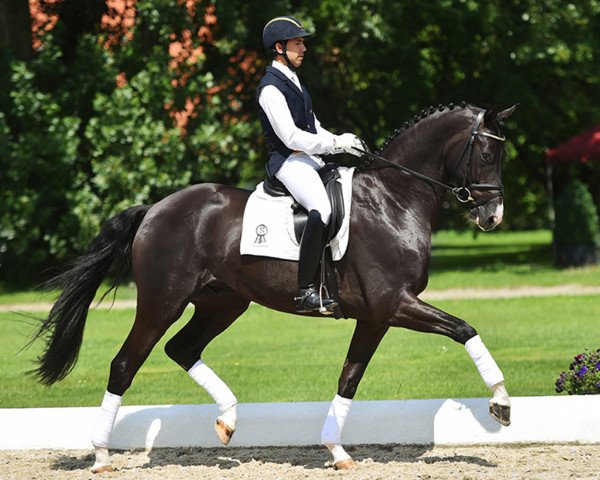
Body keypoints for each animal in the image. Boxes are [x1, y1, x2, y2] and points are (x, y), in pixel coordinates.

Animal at [30, 102, 516, 472]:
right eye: (486, 154)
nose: (493, 217)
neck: (393, 199)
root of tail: (154, 208)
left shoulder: (376, 317)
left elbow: (349, 378)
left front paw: (337, 450)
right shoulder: (395, 304)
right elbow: (465, 329)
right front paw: (501, 403)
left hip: (223, 304)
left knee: (182, 349)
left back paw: (228, 420)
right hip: (160, 303)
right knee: (125, 365)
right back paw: (101, 456)